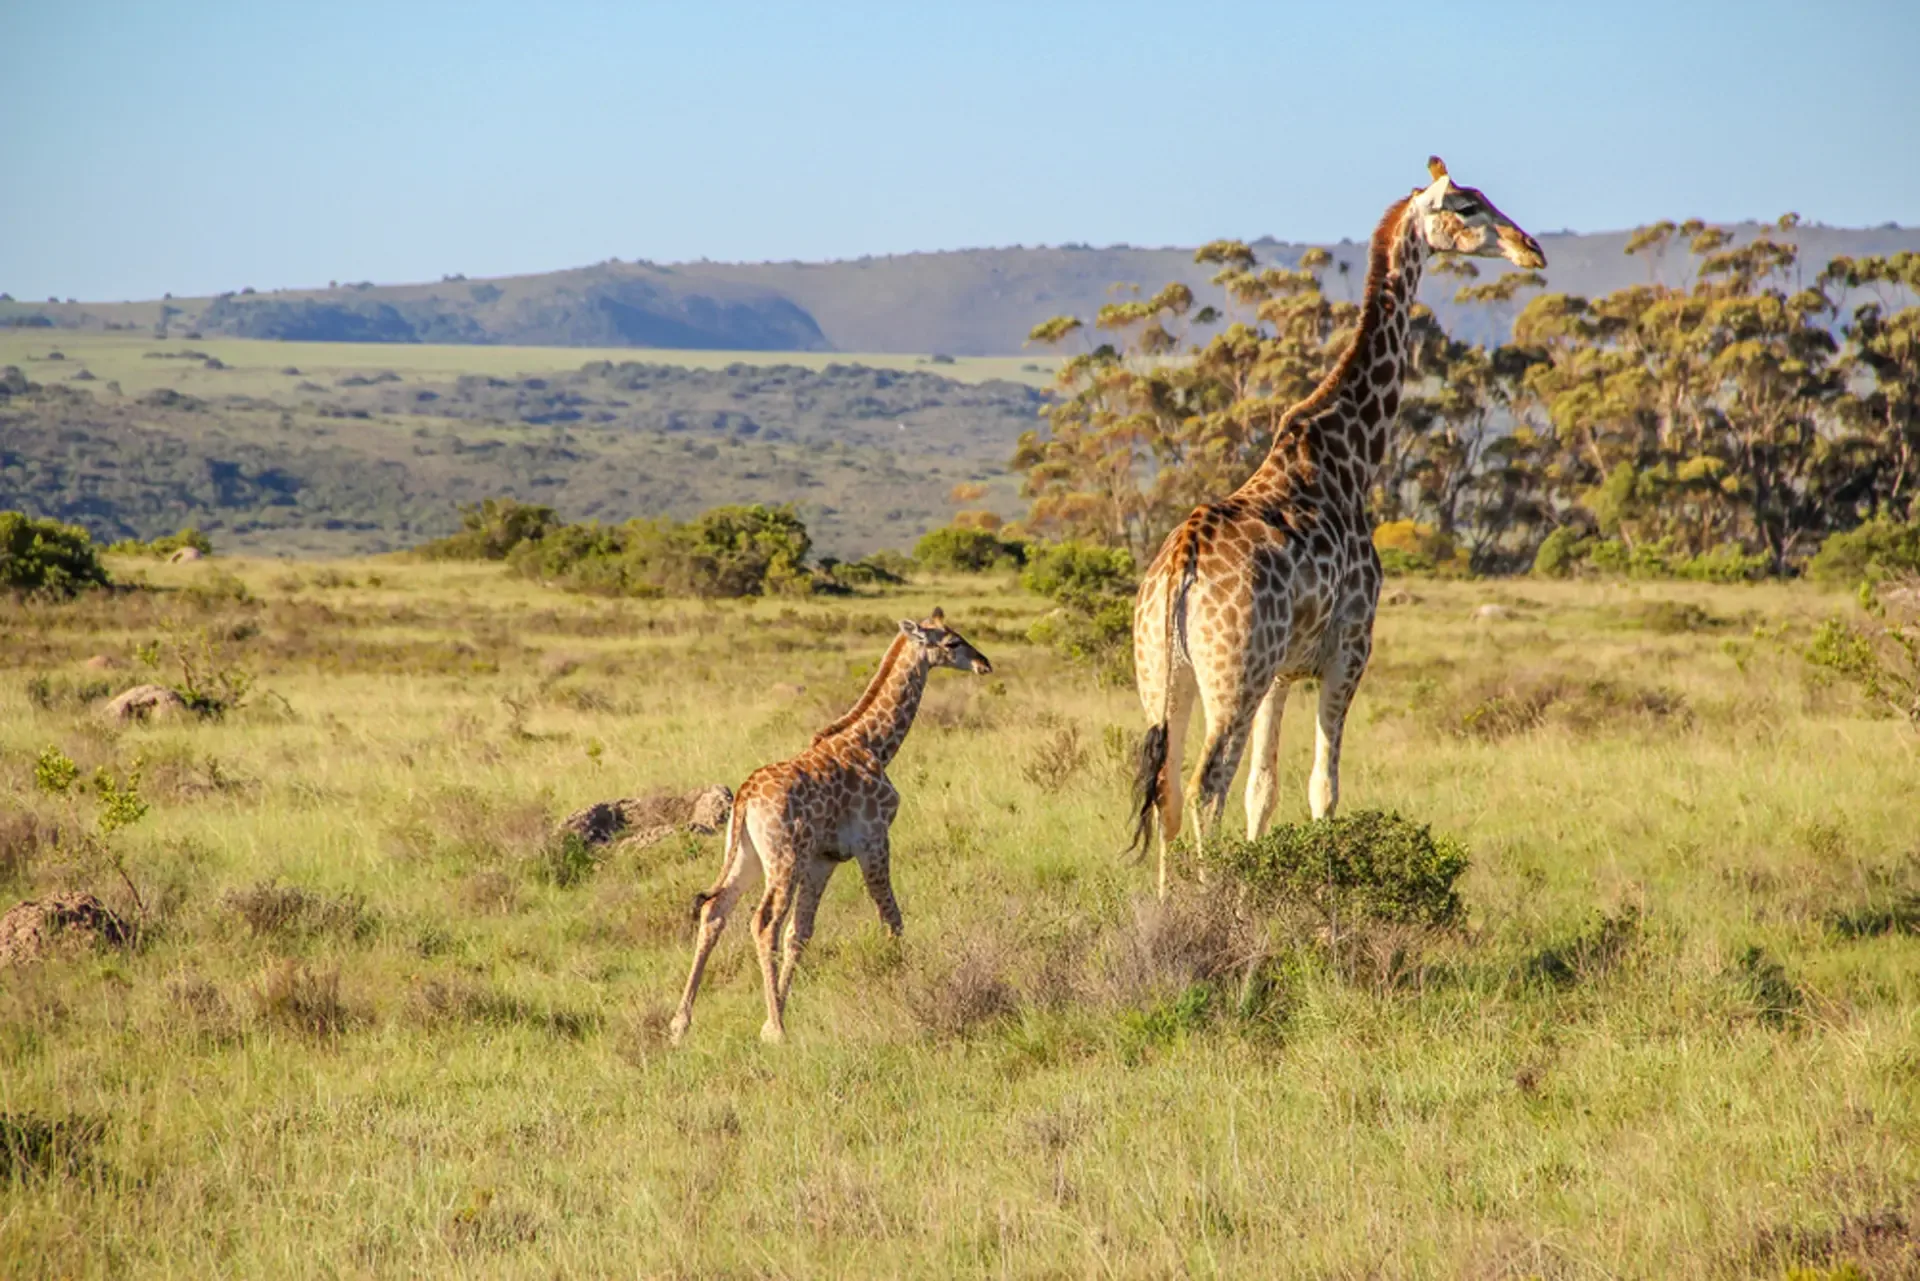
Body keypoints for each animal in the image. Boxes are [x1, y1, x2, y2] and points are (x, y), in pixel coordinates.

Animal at [669, 608, 992, 1044]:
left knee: (715, 911)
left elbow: (801, 933)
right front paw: (906, 981)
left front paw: (775, 1010)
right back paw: (777, 1030)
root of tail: (745, 796)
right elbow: (891, 918)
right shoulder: (874, 840)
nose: (984, 663)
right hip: (783, 859)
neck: (874, 745)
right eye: (952, 642)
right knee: (764, 922)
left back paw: (681, 1023)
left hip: (747, 856)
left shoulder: (824, 859)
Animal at [1128, 157, 1546, 897]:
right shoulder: (1349, 647)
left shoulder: (1282, 671)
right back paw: (1206, 898)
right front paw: (1324, 886)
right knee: (1206, 782)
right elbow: (1323, 788)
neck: (1352, 454)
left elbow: (1263, 791)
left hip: (1163, 674)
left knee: (1169, 787)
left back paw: (1162, 905)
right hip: (1231, 676)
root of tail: (1178, 569)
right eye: (1468, 207)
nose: (1532, 248)